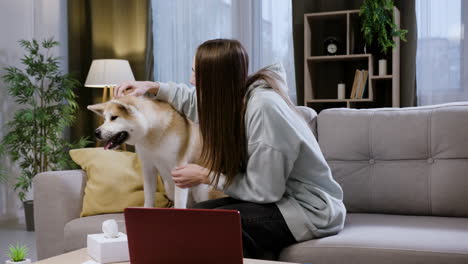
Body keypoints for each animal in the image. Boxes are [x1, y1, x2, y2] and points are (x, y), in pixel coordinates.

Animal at [88, 96, 221, 209]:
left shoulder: (180, 172)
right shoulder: (148, 168)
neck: (152, 135)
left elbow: (179, 204)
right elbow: (148, 197)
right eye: (104, 119)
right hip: (169, 188)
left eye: (114, 117)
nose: (96, 132)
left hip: (202, 189)